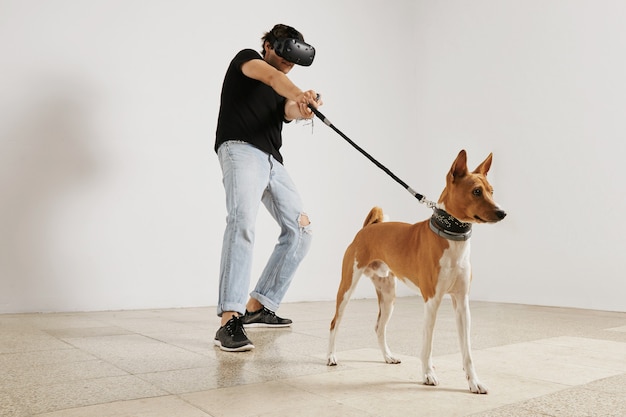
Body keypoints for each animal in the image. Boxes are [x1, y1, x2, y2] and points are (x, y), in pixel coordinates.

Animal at [324, 149, 504, 394]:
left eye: (491, 191)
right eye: (476, 191)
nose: (502, 212)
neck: (452, 239)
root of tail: (368, 227)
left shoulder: (462, 303)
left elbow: (467, 351)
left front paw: (474, 382)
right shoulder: (432, 301)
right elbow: (427, 344)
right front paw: (428, 374)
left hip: (388, 295)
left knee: (379, 327)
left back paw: (388, 356)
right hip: (346, 289)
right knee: (335, 323)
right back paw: (331, 356)